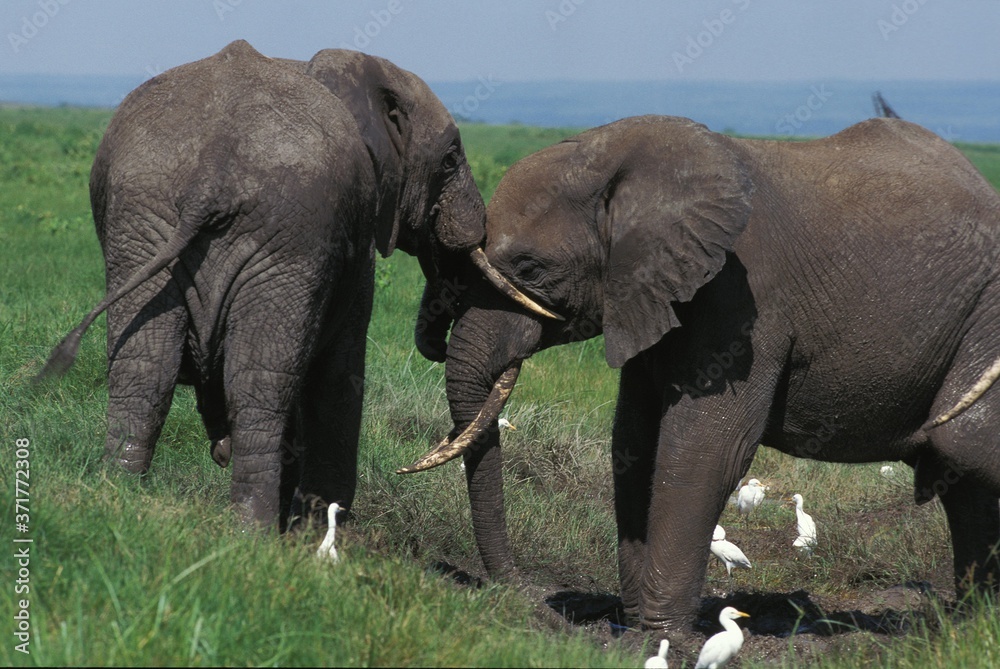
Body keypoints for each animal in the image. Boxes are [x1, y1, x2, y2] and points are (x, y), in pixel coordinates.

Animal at [36, 40, 548, 528]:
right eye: (450, 159)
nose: (440, 342)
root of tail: (212, 170)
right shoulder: (350, 245)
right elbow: (339, 373)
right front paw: (315, 531)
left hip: (146, 220)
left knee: (145, 368)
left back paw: (119, 498)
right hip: (284, 236)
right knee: (260, 386)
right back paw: (254, 535)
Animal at [399, 115, 1000, 629]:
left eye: (530, 269)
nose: (522, 596)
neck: (616, 154)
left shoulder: (744, 298)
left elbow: (706, 447)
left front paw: (661, 634)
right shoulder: (648, 293)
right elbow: (634, 442)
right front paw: (637, 623)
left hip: (983, 317)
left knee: (962, 445)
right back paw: (971, 625)